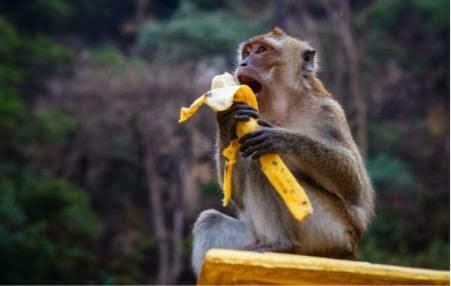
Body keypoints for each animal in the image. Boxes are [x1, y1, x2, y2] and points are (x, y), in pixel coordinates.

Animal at [191, 27, 374, 276]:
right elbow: (235, 194)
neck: (281, 105)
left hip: (328, 230)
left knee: (261, 164)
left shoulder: (328, 112)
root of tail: (347, 251)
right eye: (247, 52)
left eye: (261, 50)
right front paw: (227, 117)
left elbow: (355, 190)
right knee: (211, 219)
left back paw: (280, 245)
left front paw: (282, 138)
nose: (244, 62)